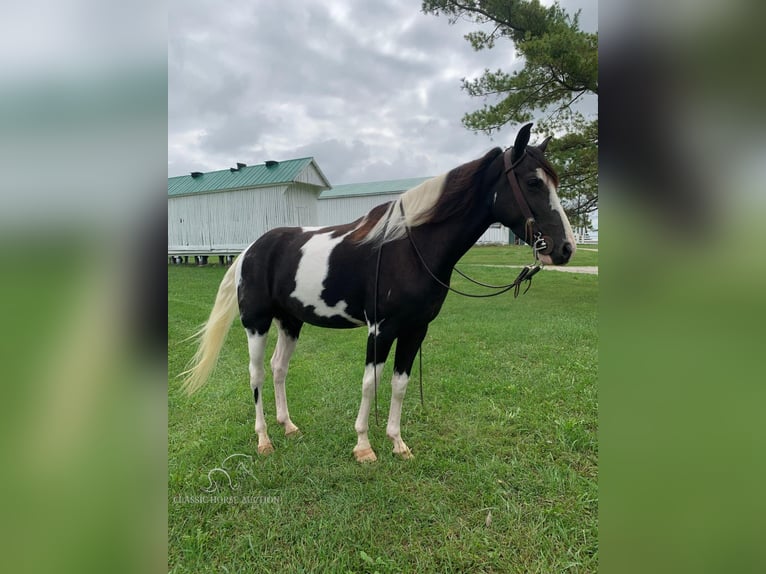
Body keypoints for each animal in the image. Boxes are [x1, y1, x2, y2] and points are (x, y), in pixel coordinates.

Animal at [180, 125, 576, 464]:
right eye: (532, 182)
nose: (565, 248)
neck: (409, 249)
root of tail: (250, 250)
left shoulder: (415, 330)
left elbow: (399, 385)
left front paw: (398, 443)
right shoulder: (381, 330)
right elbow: (371, 384)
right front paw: (363, 446)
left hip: (291, 322)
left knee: (279, 369)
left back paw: (288, 426)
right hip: (257, 324)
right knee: (257, 375)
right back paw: (264, 440)